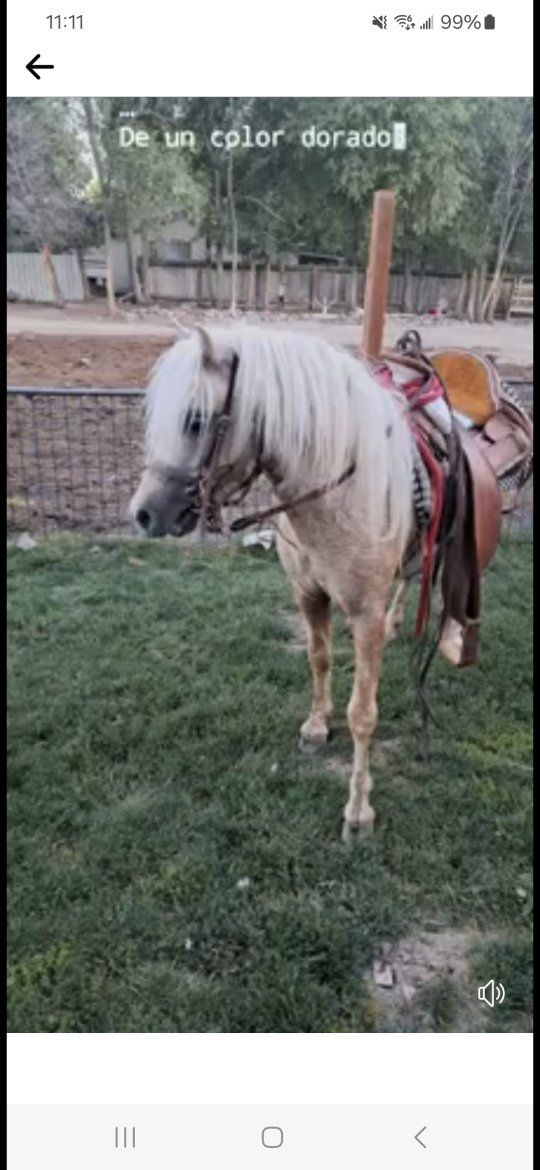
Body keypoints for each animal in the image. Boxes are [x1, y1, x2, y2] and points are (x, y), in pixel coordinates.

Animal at [129, 325, 418, 839]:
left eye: (195, 420)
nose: (141, 514)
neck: (338, 494)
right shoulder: (308, 595)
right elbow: (319, 660)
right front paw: (316, 727)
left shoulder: (365, 615)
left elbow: (363, 714)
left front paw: (358, 810)